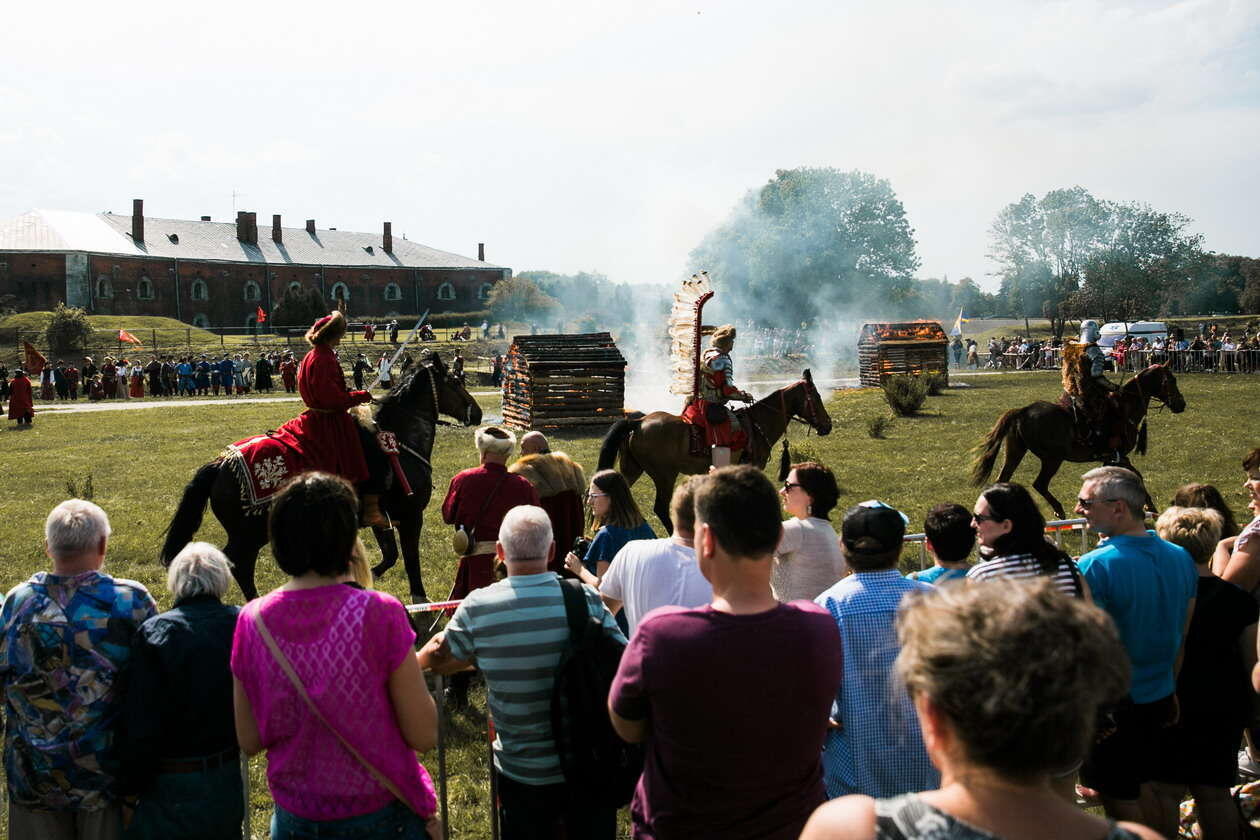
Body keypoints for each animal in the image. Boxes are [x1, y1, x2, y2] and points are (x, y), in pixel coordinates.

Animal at [160, 353, 482, 601]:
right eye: (456, 381)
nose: (477, 413)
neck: (400, 440)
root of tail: (220, 464)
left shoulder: (381, 518)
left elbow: (390, 555)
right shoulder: (411, 515)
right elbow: (411, 559)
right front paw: (418, 597)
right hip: (250, 533)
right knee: (239, 564)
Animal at [597, 370, 833, 532]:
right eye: (817, 397)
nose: (827, 425)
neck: (757, 424)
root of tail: (638, 422)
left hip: (632, 470)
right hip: (664, 475)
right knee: (661, 508)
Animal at [971, 364, 1186, 518]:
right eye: (1172, 380)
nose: (1181, 404)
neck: (1124, 408)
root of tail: (1023, 411)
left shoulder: (1113, 458)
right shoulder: (1120, 456)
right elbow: (1138, 478)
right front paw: (1151, 508)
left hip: (1015, 452)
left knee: (1003, 478)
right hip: (1052, 459)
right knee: (1040, 484)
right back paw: (1059, 510)